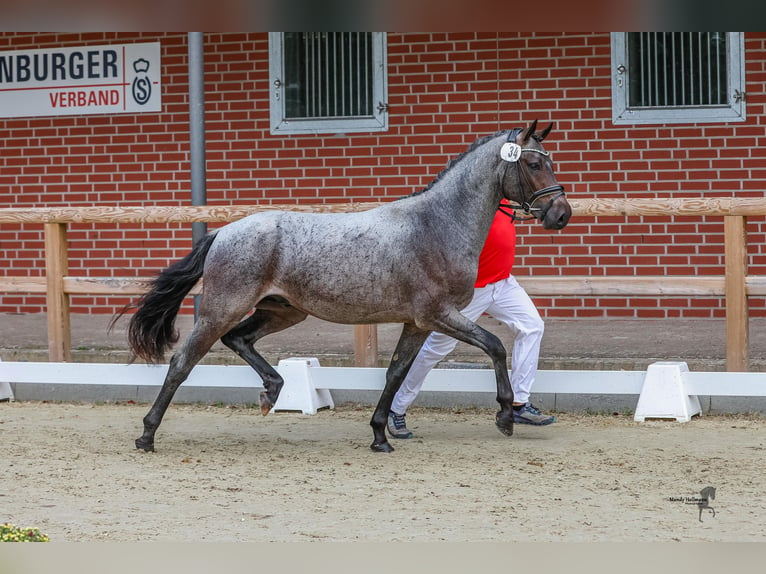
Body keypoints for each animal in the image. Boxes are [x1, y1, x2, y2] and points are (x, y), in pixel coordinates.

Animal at [117, 120, 572, 454]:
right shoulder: (438, 315)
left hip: (282, 310)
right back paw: (146, 435)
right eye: (534, 165)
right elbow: (495, 346)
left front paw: (380, 436)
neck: (436, 224)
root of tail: (224, 232)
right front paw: (505, 416)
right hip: (221, 309)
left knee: (239, 340)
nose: (561, 214)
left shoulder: (418, 323)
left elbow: (396, 373)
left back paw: (272, 391)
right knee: (183, 362)